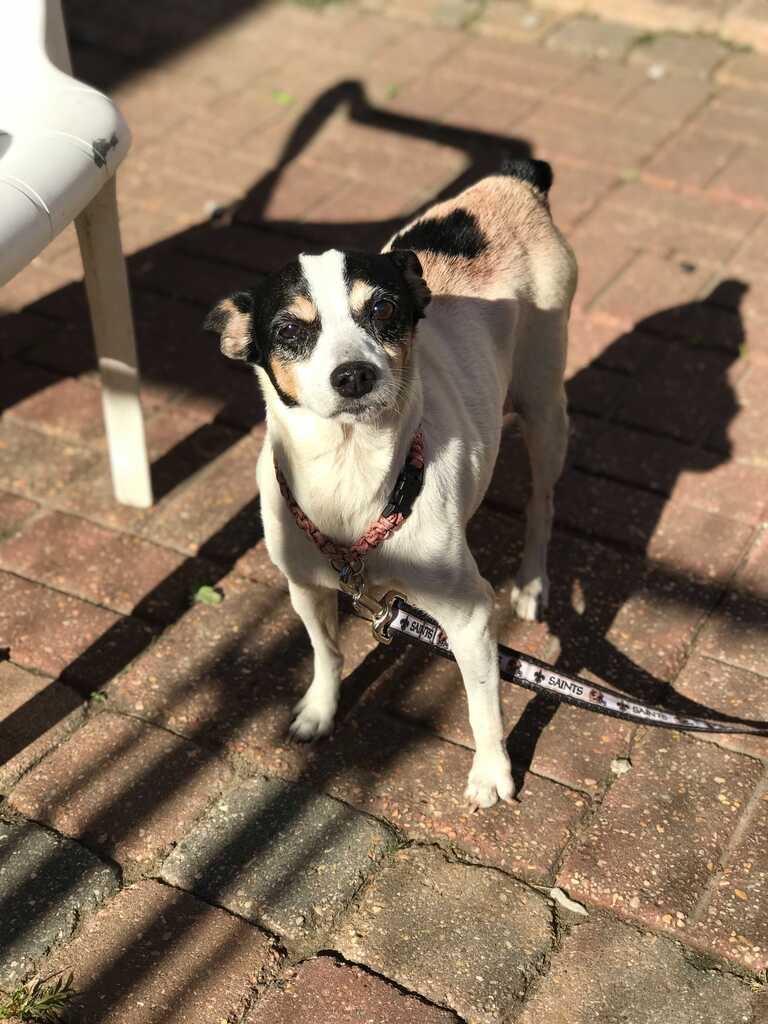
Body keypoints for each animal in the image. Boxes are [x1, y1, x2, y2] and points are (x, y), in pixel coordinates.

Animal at [204, 159, 577, 811]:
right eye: (289, 329)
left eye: (381, 311)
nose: (354, 374)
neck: (350, 473)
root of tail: (514, 180)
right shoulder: (306, 588)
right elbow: (327, 653)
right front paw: (320, 710)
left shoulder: (469, 617)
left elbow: (483, 706)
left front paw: (491, 773)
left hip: (544, 407)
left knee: (543, 502)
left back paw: (532, 582)